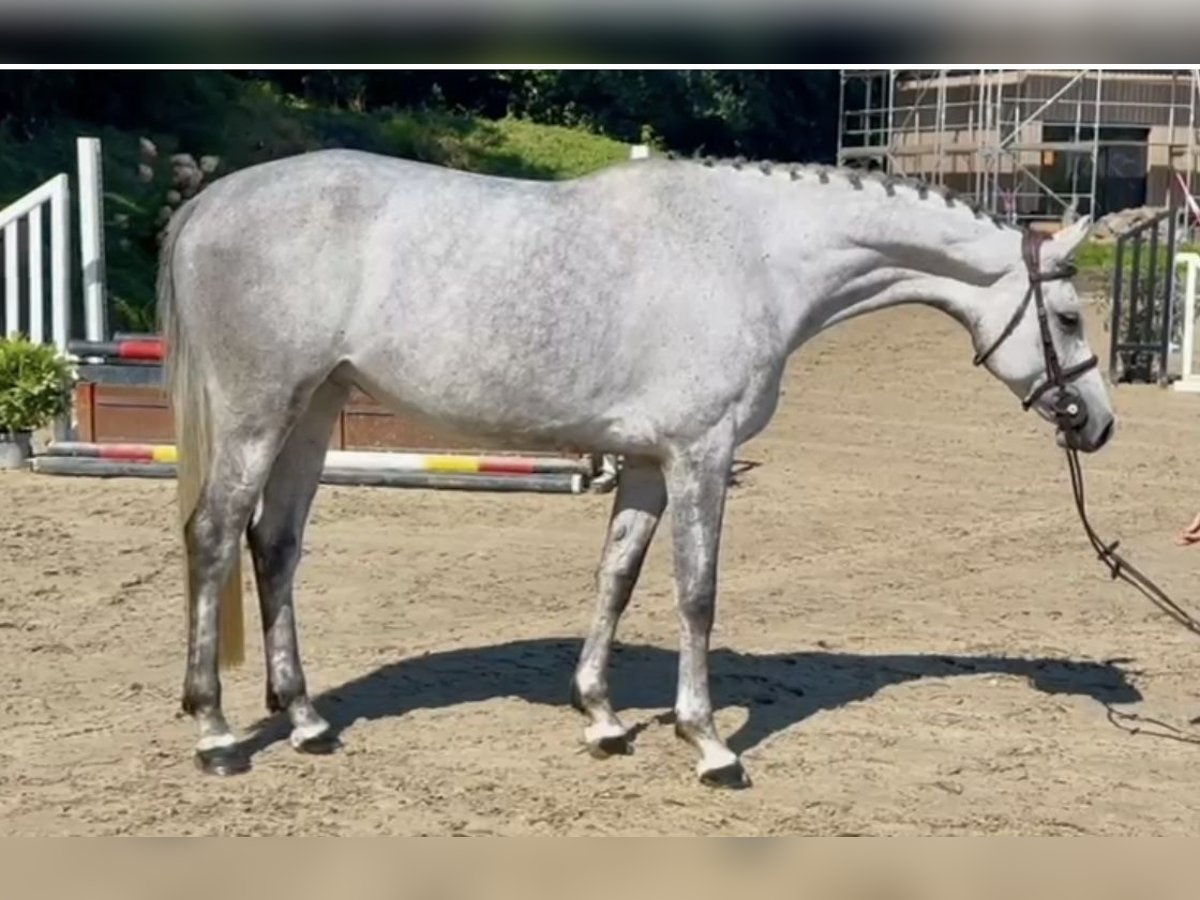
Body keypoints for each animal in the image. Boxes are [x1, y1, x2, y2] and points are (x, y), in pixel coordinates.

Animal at [159, 153, 1113, 787]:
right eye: (1067, 316)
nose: (1099, 423)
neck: (754, 254)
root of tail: (210, 201)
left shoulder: (652, 463)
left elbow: (616, 576)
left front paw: (604, 718)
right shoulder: (702, 453)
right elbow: (697, 594)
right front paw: (710, 742)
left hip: (314, 411)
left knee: (276, 545)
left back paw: (306, 719)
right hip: (259, 411)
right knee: (214, 535)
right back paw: (215, 731)